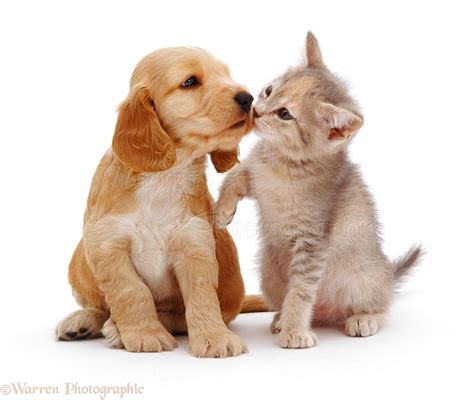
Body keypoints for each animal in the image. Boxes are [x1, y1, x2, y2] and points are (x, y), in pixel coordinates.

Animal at [57, 45, 262, 358]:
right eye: (189, 82)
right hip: (79, 262)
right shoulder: (107, 244)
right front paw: (145, 334)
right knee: (103, 307)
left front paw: (214, 337)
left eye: (227, 75)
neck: (165, 177)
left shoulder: (195, 244)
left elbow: (201, 297)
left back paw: (117, 328)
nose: (248, 98)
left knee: (177, 315)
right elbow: (131, 291)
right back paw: (83, 321)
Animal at [215, 32, 422, 348]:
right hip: (268, 270)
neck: (283, 163)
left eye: (285, 114)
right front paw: (222, 212)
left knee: (382, 303)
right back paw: (280, 319)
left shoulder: (312, 239)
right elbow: (233, 178)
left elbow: (301, 291)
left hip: (365, 276)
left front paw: (295, 332)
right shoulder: (254, 175)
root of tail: (327, 313)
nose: (255, 110)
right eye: (269, 90)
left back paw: (363, 318)